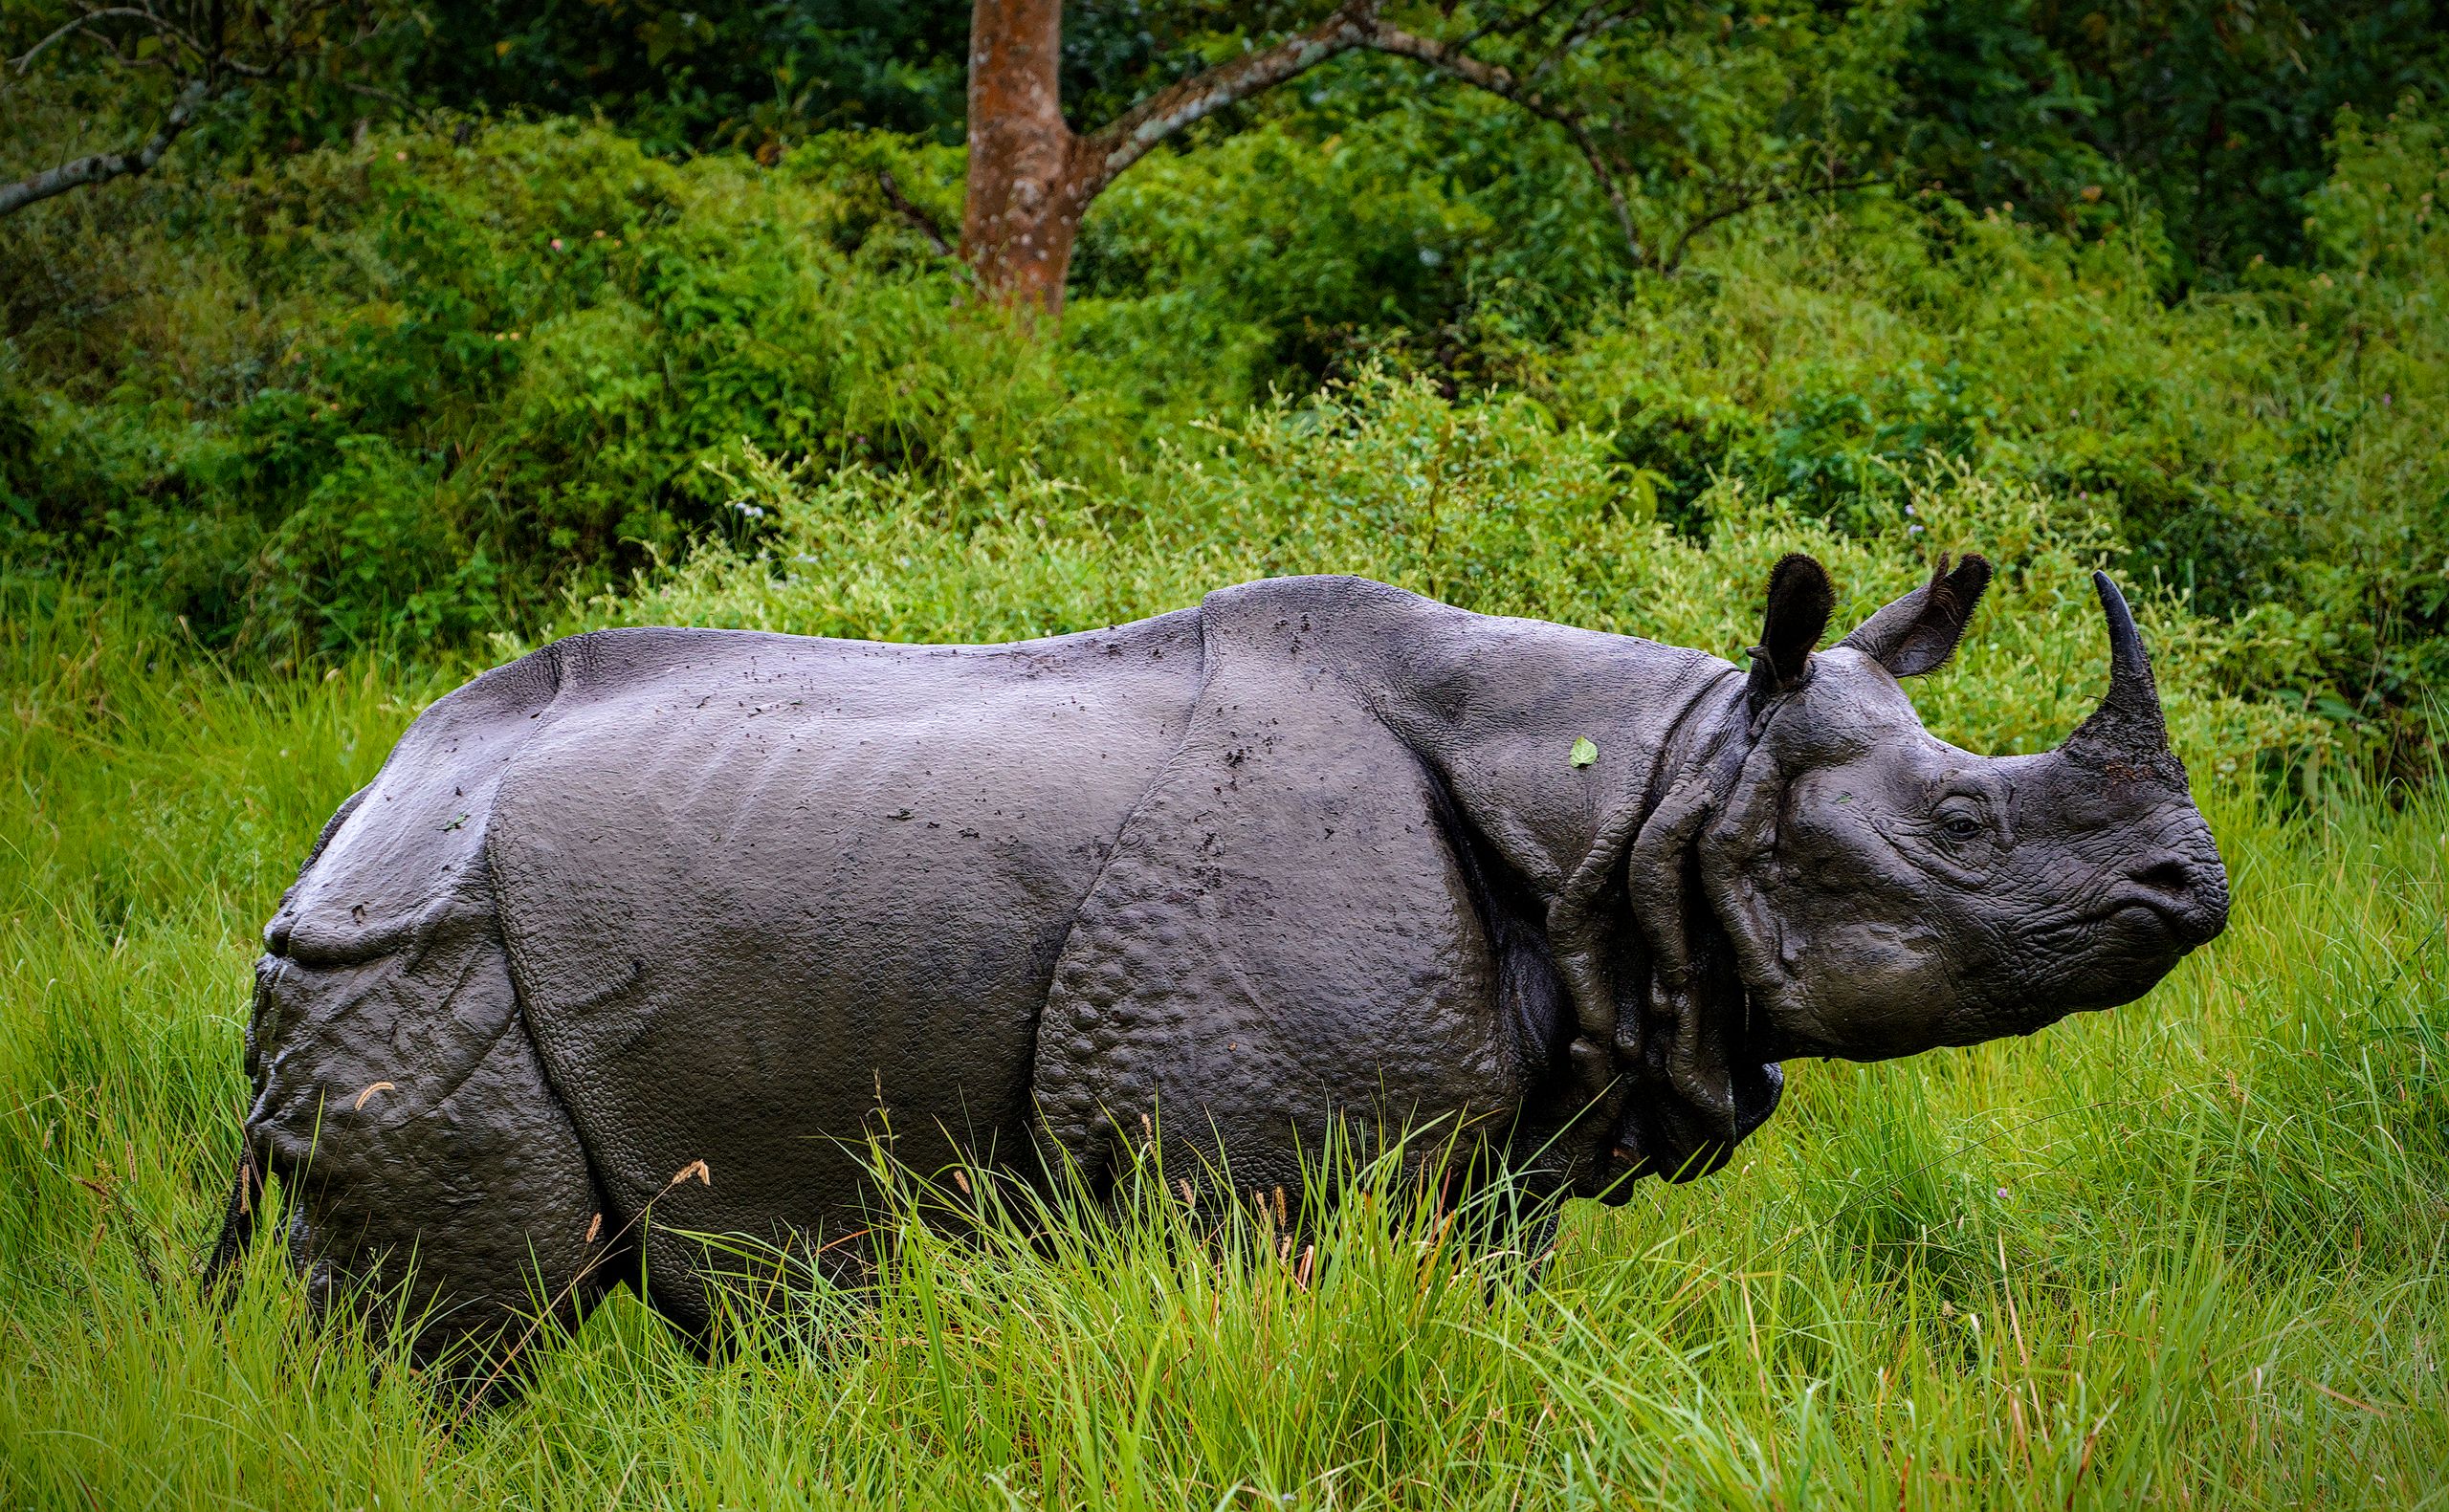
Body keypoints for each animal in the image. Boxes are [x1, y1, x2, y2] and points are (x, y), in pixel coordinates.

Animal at [204, 554, 2227, 1373]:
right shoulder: (1249, 1165)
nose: (2195, 890)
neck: (1652, 793)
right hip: (430, 946)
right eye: (1962, 830)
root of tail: (364, 804)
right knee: (461, 1344)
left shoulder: (1491, 1141)